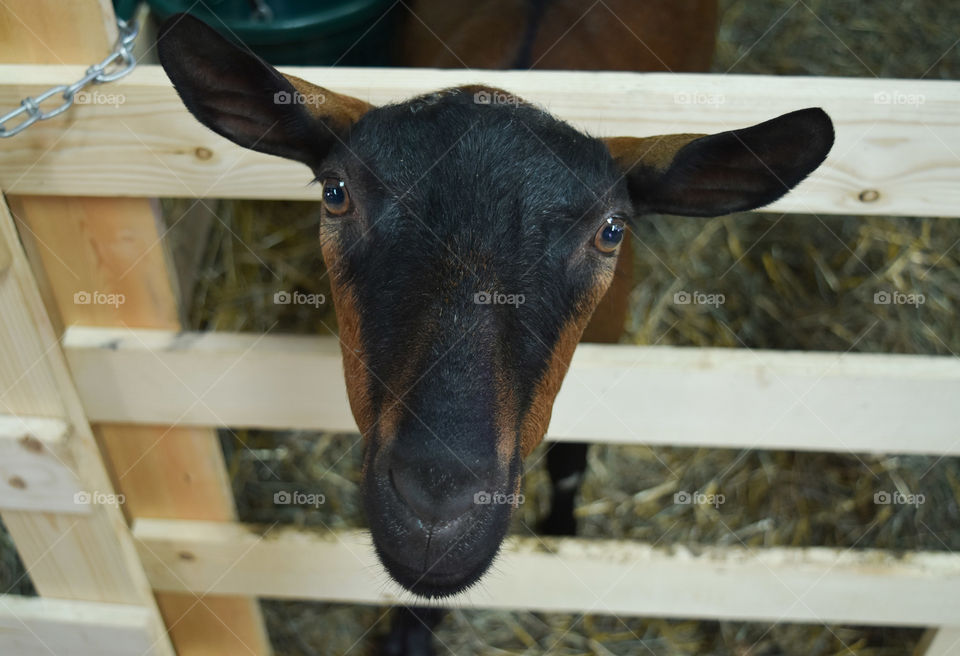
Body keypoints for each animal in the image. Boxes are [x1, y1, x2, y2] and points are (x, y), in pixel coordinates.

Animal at [158, 9, 832, 652]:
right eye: (336, 193)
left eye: (611, 230)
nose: (437, 500)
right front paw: (409, 634)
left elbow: (572, 462)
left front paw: (562, 533)